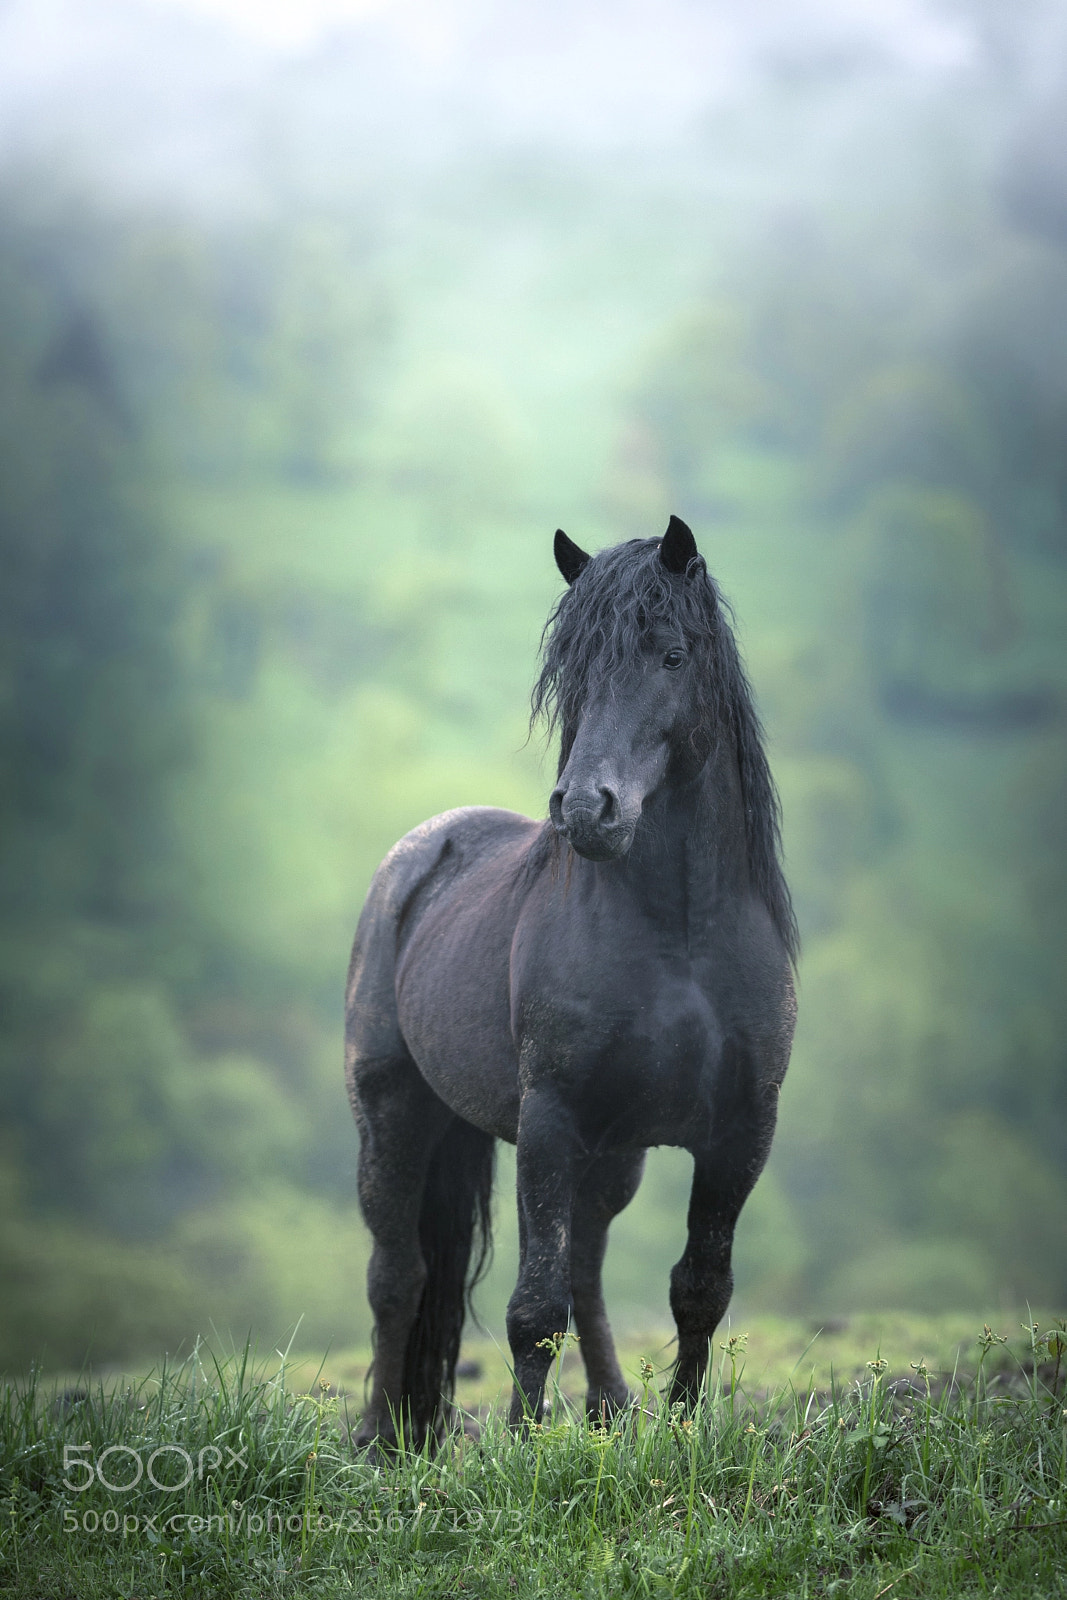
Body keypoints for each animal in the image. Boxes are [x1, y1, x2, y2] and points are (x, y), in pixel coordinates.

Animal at [345, 515, 797, 1452]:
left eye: (670, 656)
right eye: (574, 672)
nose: (587, 810)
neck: (680, 939)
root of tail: (417, 856)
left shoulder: (741, 1129)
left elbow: (699, 1287)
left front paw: (682, 1433)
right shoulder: (548, 1123)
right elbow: (532, 1308)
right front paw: (521, 1449)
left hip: (612, 1155)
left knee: (585, 1267)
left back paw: (608, 1409)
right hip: (394, 1117)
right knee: (397, 1272)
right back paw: (383, 1439)